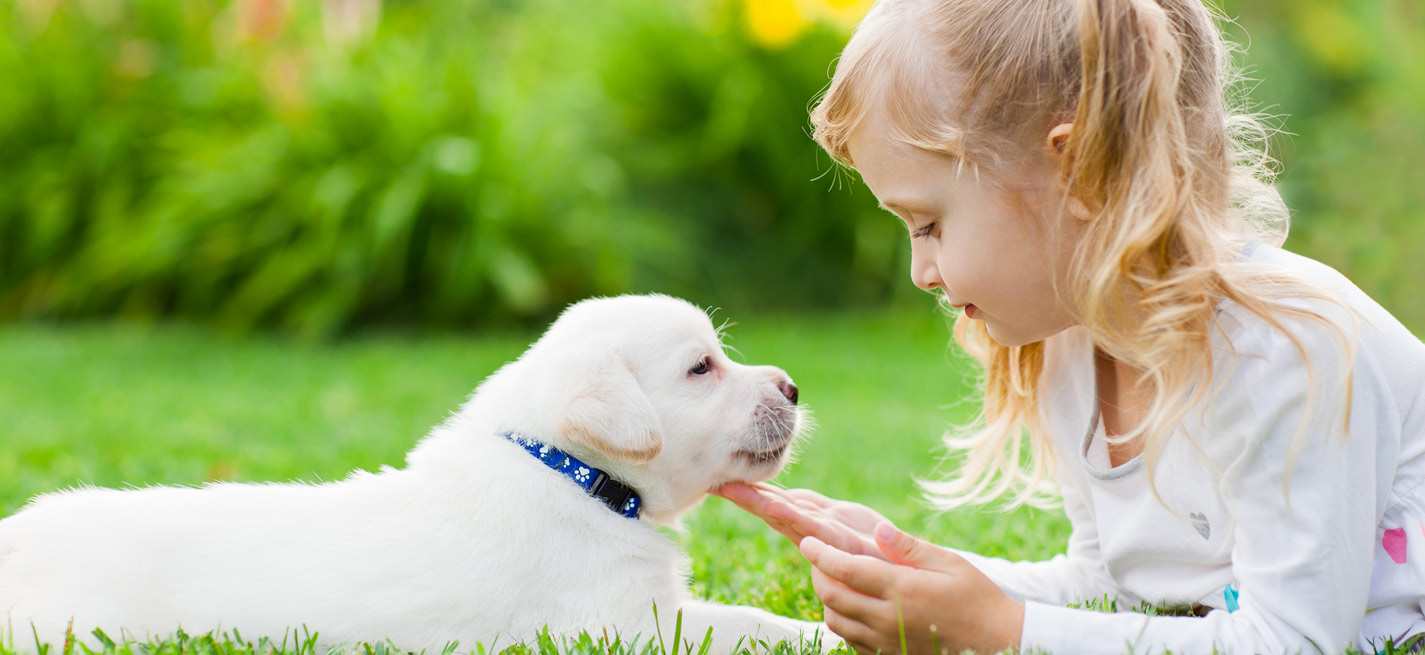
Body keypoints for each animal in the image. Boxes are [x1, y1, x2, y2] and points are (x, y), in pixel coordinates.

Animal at [0, 294, 832, 652]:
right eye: (700, 367)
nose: (794, 387)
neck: (571, 474)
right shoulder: (621, 625)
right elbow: (742, 626)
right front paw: (824, 636)